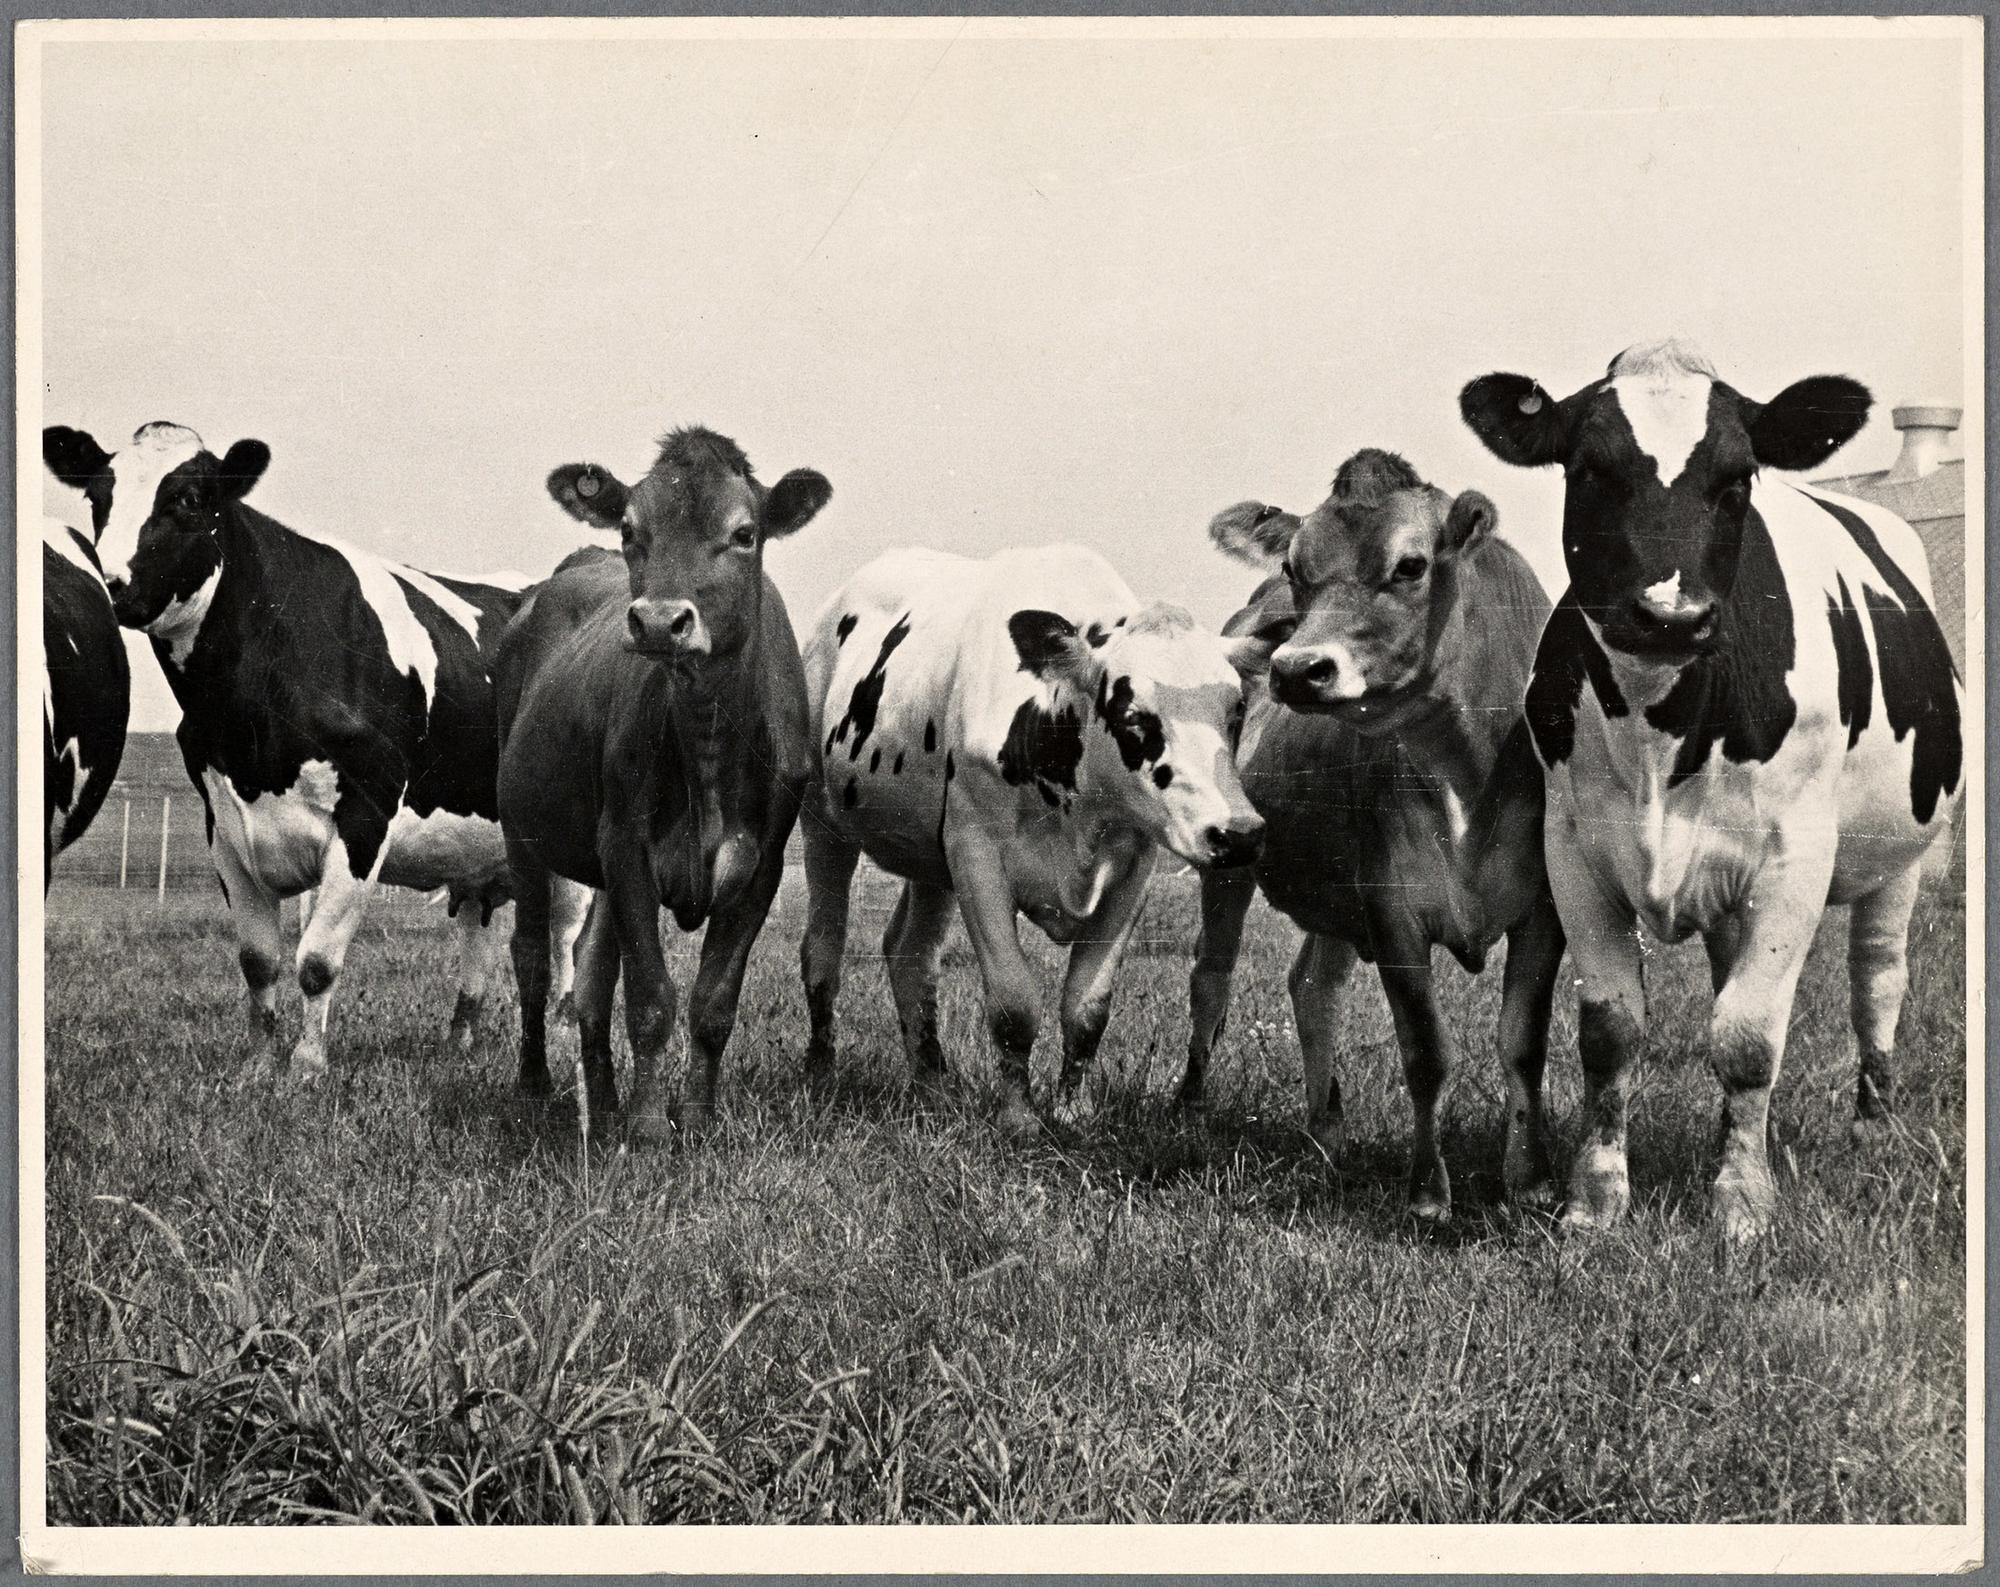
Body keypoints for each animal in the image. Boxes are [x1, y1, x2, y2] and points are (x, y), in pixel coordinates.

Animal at [41, 421, 586, 1082]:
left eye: (189, 499)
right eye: (99, 497)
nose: (114, 585)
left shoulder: (365, 818)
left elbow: (317, 959)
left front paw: (306, 1064)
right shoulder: (224, 826)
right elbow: (258, 961)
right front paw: (257, 1064)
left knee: (564, 943)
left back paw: (564, 1042)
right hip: (480, 853)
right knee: (479, 930)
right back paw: (460, 1041)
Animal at [497, 426, 832, 1141]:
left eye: (744, 533)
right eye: (630, 528)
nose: (656, 622)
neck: (707, 740)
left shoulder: (762, 867)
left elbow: (713, 1002)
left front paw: (697, 1121)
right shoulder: (626, 847)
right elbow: (650, 997)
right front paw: (651, 1129)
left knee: (590, 972)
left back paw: (603, 1103)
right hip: (521, 832)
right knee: (533, 955)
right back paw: (536, 1084)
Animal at [797, 544, 1271, 1139]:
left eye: (1236, 710)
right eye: (1133, 715)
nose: (1239, 833)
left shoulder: (1135, 866)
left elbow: (1088, 1006)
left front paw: (1071, 1110)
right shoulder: (976, 853)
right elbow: (1013, 1002)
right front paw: (1019, 1116)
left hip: (931, 860)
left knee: (912, 954)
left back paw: (931, 1085)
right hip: (822, 822)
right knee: (823, 947)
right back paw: (821, 1073)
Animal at [1186, 449, 1564, 1221]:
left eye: (1410, 565)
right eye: (1297, 566)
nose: (1296, 669)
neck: (1465, 769)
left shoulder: (1543, 911)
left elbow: (1522, 1043)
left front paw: (1532, 1179)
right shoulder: (1392, 910)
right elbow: (1425, 1051)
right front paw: (1426, 1194)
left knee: (1311, 984)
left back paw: (1326, 1131)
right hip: (1229, 854)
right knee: (1211, 976)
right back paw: (1192, 1111)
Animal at [1460, 338, 1963, 1240]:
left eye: (1737, 478)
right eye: (1589, 469)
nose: (1670, 614)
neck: (1659, 727)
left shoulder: (1796, 861)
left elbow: (1750, 1036)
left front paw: (1741, 1202)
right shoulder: (1574, 854)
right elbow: (1611, 1030)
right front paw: (1597, 1197)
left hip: (1905, 851)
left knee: (1878, 980)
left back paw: (1873, 1129)